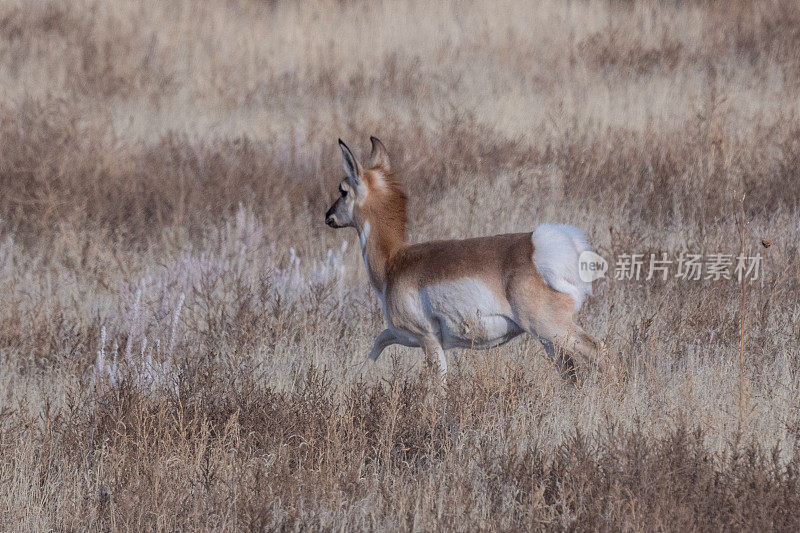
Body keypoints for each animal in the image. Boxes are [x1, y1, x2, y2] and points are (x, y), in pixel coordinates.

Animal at [324, 135, 608, 380]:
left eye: (343, 190)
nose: (328, 216)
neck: (394, 261)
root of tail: (542, 244)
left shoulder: (428, 340)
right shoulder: (401, 335)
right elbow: (378, 342)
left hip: (551, 329)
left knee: (599, 351)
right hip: (547, 339)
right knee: (569, 372)